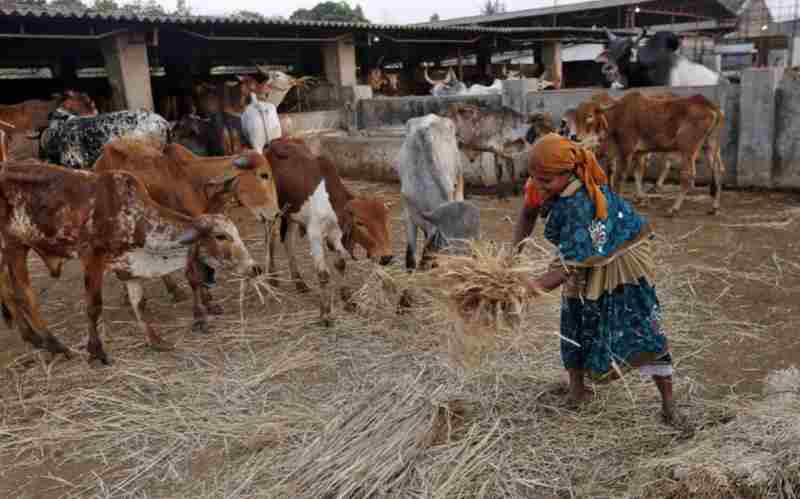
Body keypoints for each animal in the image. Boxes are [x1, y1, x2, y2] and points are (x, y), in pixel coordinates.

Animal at [0, 162, 258, 366]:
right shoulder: (92, 258)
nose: (255, 268)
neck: (132, 216)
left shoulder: (129, 264)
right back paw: (54, 344)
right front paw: (96, 352)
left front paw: (155, 340)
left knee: (11, 292)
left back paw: (35, 339)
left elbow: (138, 302)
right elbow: (93, 306)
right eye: (221, 236)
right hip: (13, 245)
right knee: (23, 294)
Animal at [264, 138, 396, 324]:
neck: (331, 204)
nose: (386, 257)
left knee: (288, 241)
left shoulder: (336, 236)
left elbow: (341, 265)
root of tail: (272, 143)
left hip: (291, 215)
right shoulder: (315, 235)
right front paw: (325, 313)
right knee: (270, 239)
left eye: (386, 220)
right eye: (360, 223)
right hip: (270, 212)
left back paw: (299, 282)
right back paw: (272, 278)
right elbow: (323, 274)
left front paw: (348, 301)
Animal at [576, 91, 724, 215]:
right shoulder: (640, 152)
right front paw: (642, 198)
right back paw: (714, 206)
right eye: (578, 116)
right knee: (718, 170)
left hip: (688, 149)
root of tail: (708, 104)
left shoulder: (626, 150)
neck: (618, 114)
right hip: (709, 145)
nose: (577, 137)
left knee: (688, 176)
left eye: (590, 116)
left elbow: (620, 177)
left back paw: (673, 208)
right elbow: (638, 174)